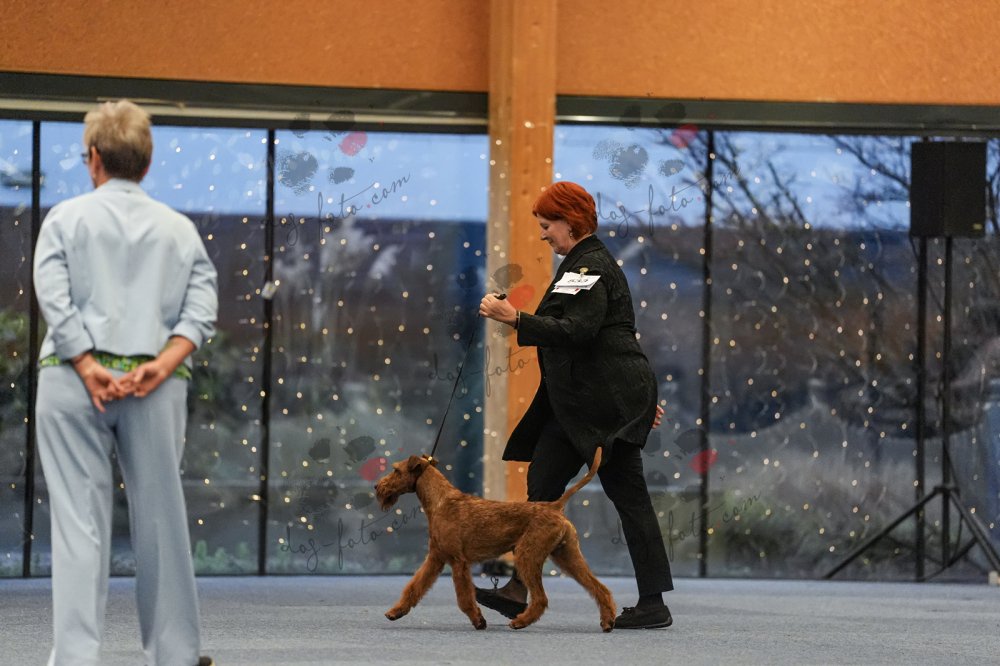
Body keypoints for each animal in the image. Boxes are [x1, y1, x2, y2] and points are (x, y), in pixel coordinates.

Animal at [374, 448, 615, 631]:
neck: (440, 502)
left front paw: (478, 620)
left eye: (395, 470)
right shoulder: (436, 558)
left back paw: (520, 622)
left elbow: (464, 598)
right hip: (567, 555)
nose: (377, 486)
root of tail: (555, 507)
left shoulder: (458, 562)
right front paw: (396, 612)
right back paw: (607, 621)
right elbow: (414, 587)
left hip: (528, 555)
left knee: (541, 599)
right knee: (599, 588)